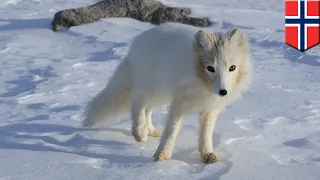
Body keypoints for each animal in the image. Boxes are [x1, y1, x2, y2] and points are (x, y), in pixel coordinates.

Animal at [83, 22, 252, 163]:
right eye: (210, 68)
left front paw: (207, 154)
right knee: (138, 103)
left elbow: (206, 133)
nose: (223, 91)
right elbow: (171, 130)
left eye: (232, 68)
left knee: (147, 109)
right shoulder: (180, 103)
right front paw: (162, 155)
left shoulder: (210, 107)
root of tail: (140, 40)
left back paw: (150, 130)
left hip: (161, 96)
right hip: (152, 88)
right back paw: (140, 132)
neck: (202, 85)